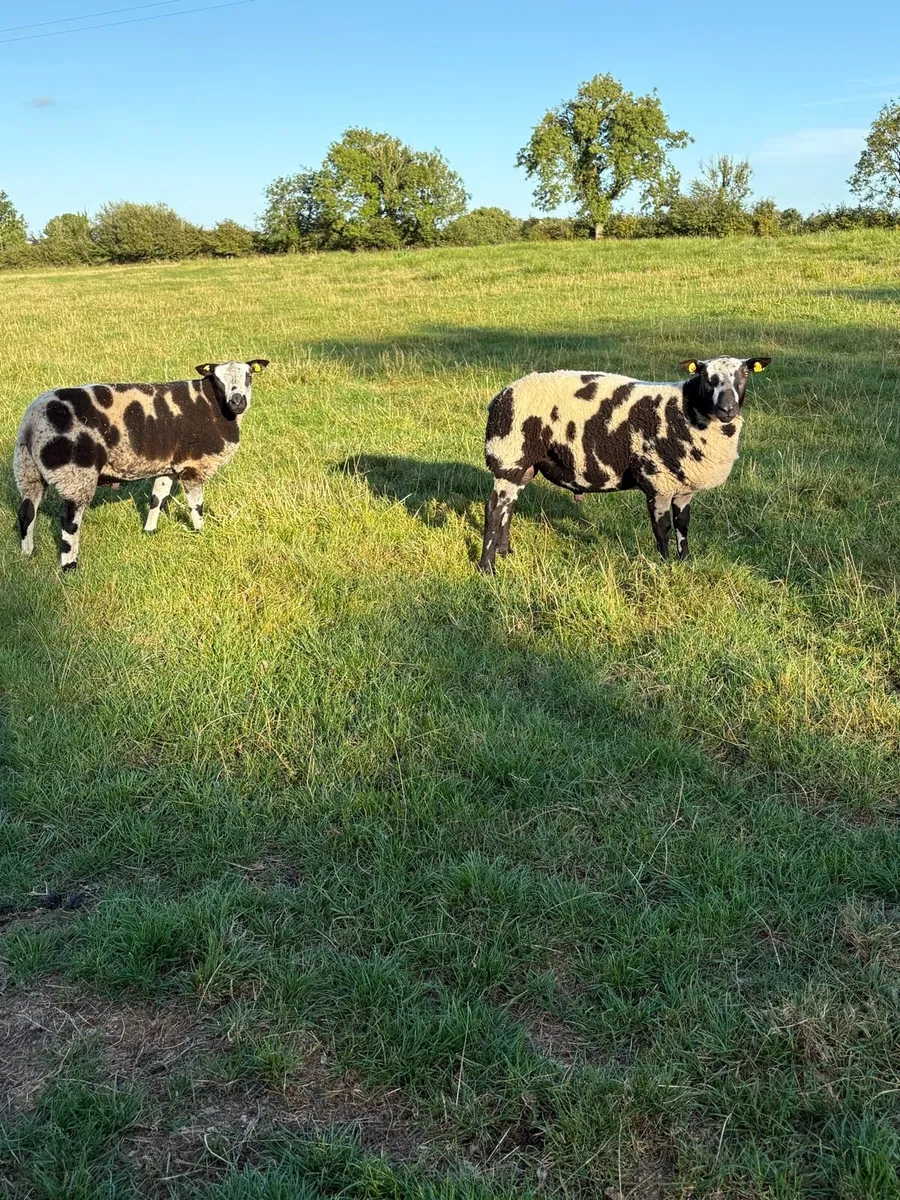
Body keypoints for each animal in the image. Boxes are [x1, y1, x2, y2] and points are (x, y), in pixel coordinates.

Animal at [14, 359, 270, 570]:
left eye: (249, 375)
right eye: (217, 379)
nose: (237, 401)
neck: (211, 405)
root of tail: (32, 420)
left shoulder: (169, 465)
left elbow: (157, 497)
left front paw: (149, 531)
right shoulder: (193, 466)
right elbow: (196, 506)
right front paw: (201, 533)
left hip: (27, 469)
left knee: (26, 512)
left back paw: (27, 553)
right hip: (75, 473)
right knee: (69, 524)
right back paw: (69, 566)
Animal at [478, 355, 771, 572]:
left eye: (744, 375)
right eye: (706, 378)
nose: (727, 409)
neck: (687, 408)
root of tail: (501, 396)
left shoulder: (683, 486)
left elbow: (683, 525)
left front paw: (685, 561)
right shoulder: (658, 479)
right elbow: (663, 529)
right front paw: (665, 565)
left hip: (524, 464)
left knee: (509, 506)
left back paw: (505, 551)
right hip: (509, 454)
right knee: (494, 509)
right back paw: (488, 567)